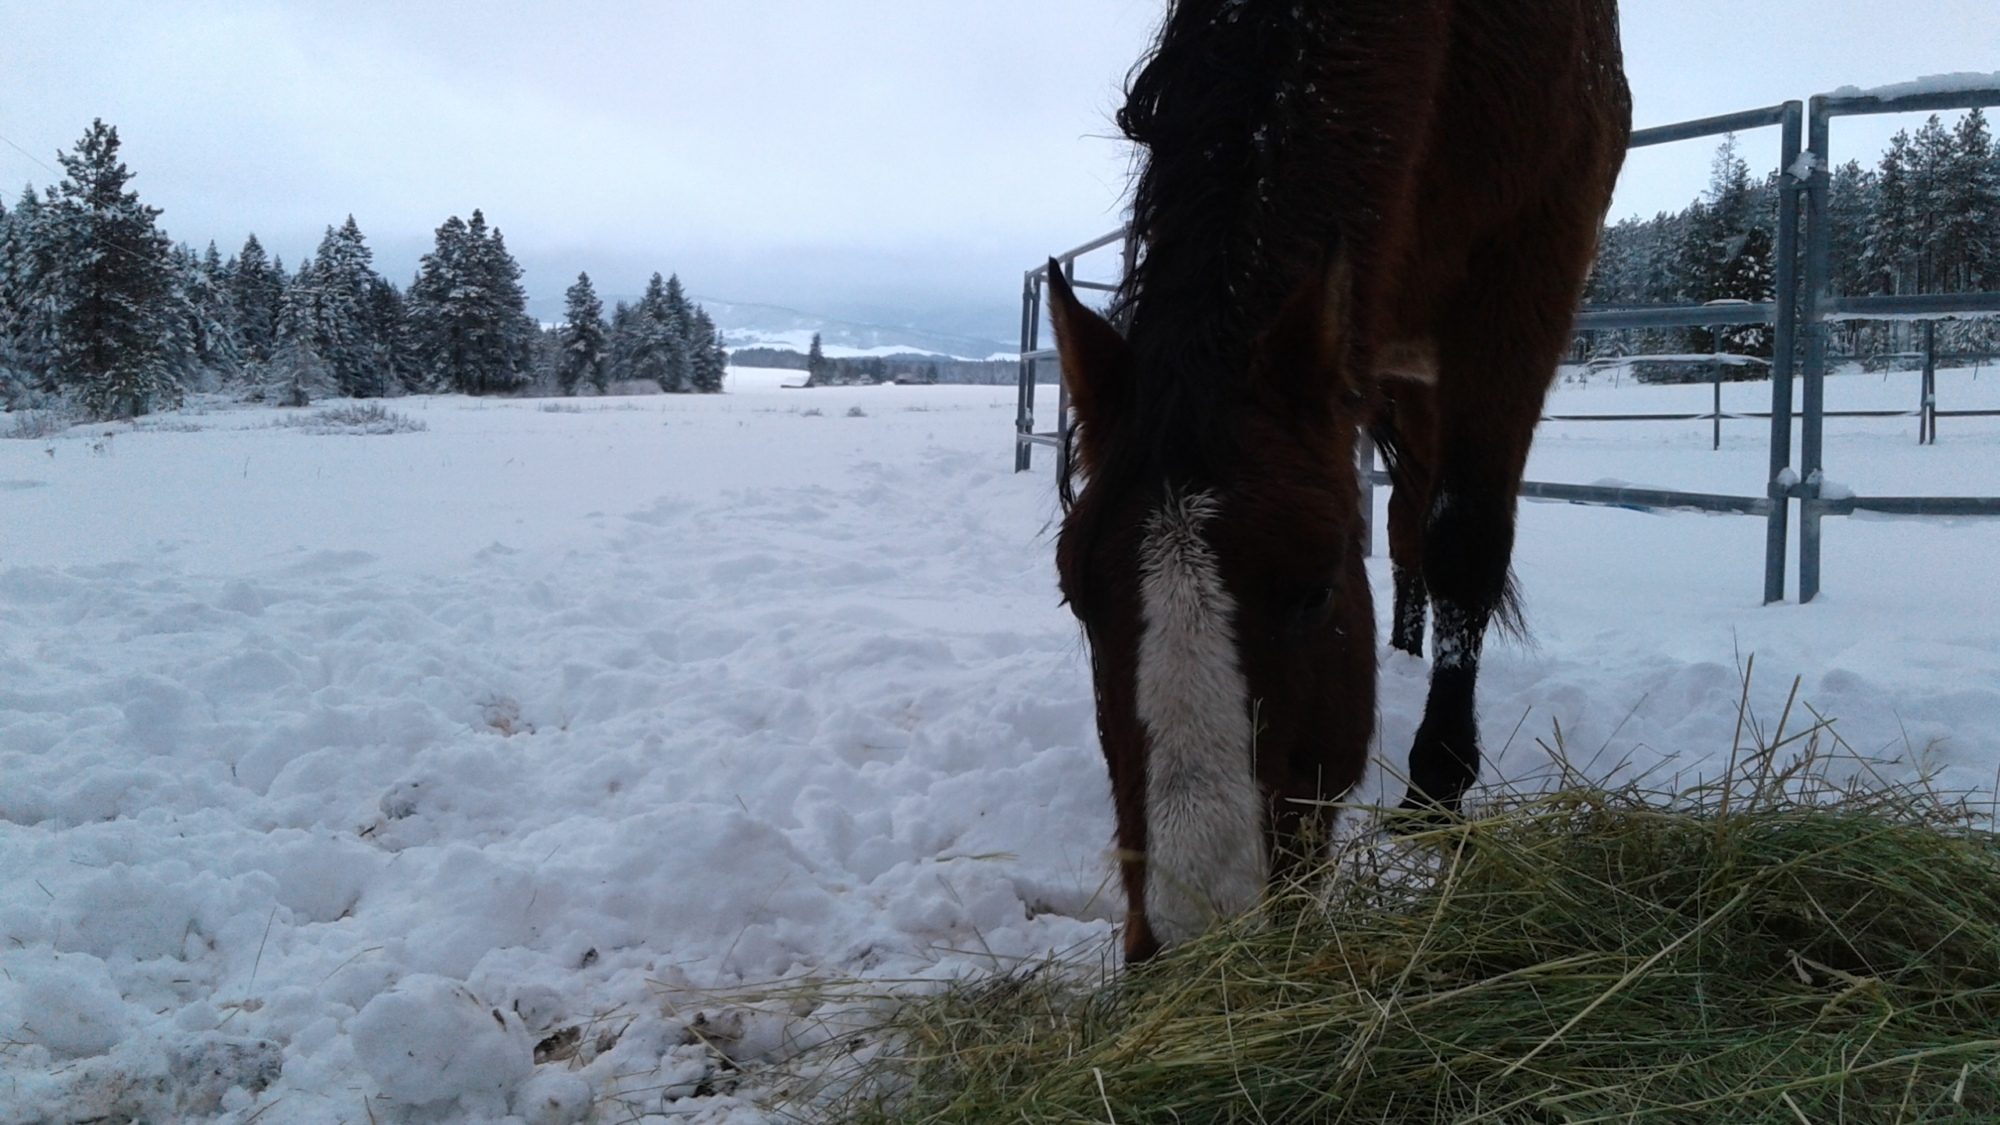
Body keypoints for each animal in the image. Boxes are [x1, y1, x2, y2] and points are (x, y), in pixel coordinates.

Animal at [1047, 0, 1630, 962]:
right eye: (1076, 597)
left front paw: (1437, 794)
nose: (1201, 944)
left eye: (1318, 592)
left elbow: (1466, 538)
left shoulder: (1527, 275)